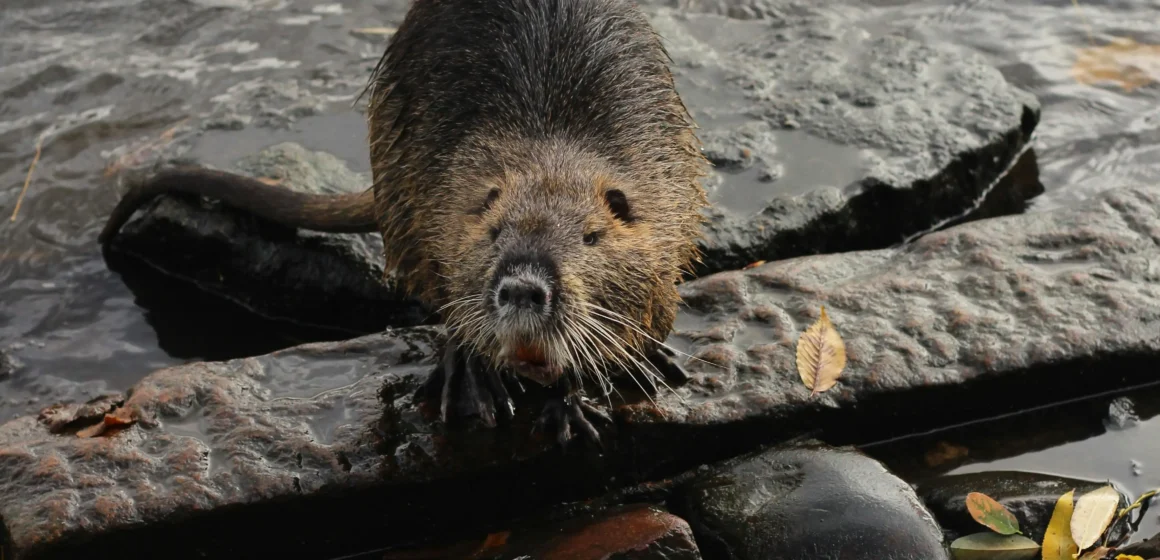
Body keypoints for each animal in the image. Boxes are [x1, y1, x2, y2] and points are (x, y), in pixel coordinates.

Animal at [99, 0, 709, 447]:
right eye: (493, 232)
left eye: (591, 236)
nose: (522, 289)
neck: (553, 147)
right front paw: (485, 386)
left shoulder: (668, 192)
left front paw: (581, 402)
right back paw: (470, 386)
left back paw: (652, 362)